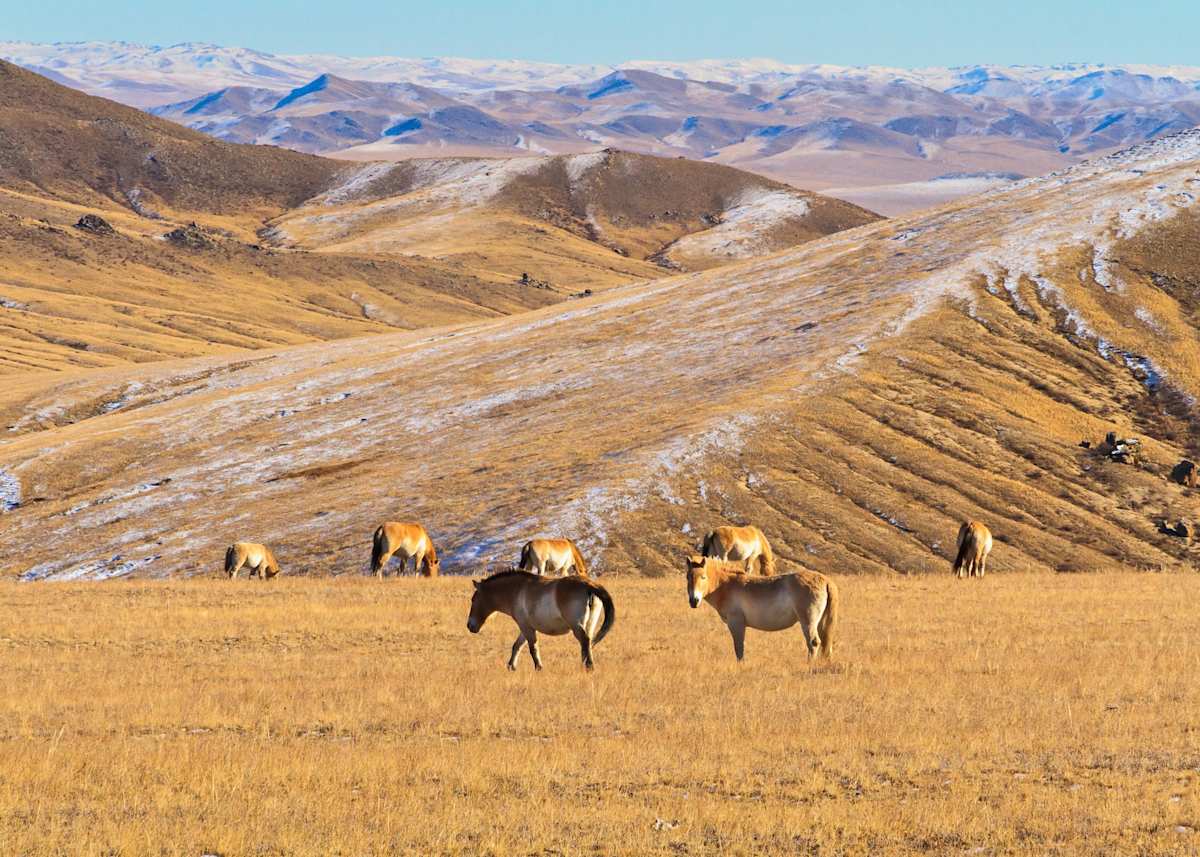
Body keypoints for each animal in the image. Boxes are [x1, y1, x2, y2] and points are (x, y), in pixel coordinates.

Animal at [466, 570, 615, 670]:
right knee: (587, 644)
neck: (516, 590)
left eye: (473, 600)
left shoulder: (526, 627)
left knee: (585, 641)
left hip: (577, 626)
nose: (469, 626)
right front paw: (511, 666)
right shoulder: (526, 627)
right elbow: (517, 646)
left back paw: (589, 667)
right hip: (589, 625)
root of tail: (589, 585)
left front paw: (538, 667)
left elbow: (533, 648)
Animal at [684, 556, 837, 661]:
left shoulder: (736, 623)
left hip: (808, 622)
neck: (726, 585)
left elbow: (739, 648)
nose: (694, 601)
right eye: (688, 578)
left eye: (703, 577)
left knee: (814, 643)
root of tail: (825, 580)